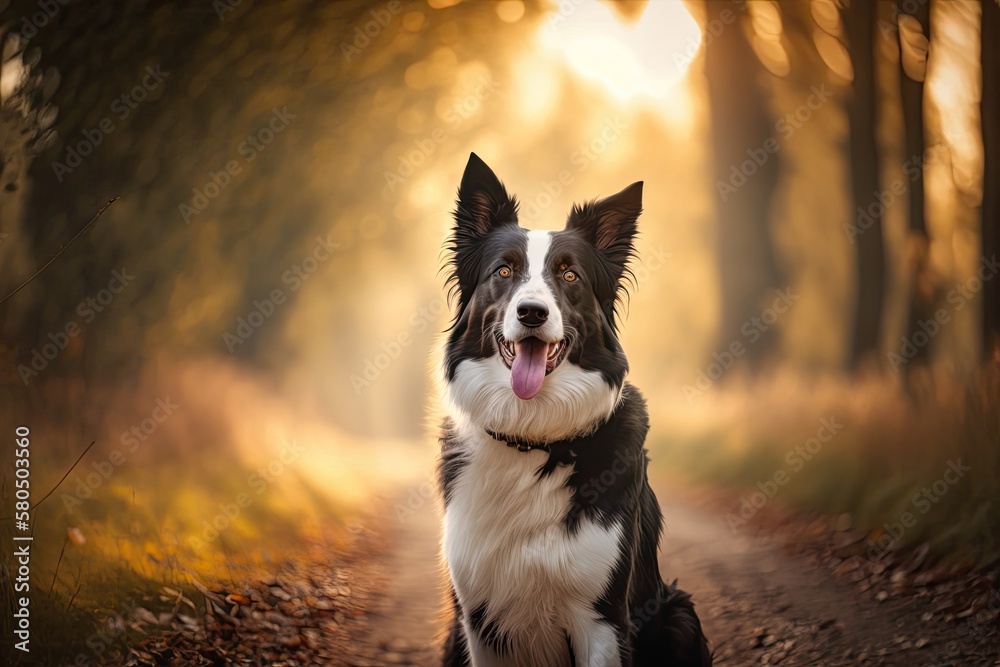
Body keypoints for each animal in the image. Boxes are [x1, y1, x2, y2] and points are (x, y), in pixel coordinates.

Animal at [438, 155, 712, 667]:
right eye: (504, 272)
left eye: (569, 276)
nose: (531, 312)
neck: (533, 438)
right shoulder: (478, 621)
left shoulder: (601, 617)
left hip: (679, 615)